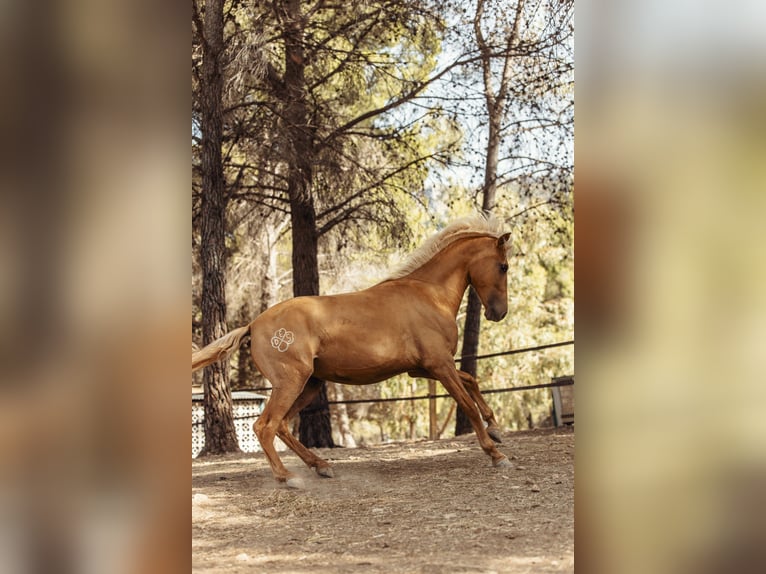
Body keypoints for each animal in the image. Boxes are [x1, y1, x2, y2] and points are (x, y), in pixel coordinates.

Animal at [195, 216, 512, 490]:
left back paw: (322, 466)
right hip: (290, 382)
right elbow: (467, 403)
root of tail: (253, 325)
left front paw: (496, 428)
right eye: (504, 267)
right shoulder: (439, 365)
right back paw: (288, 477)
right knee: (265, 426)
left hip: (310, 385)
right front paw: (496, 454)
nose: (499, 313)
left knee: (282, 426)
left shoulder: (424, 368)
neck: (429, 295)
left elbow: (471, 380)